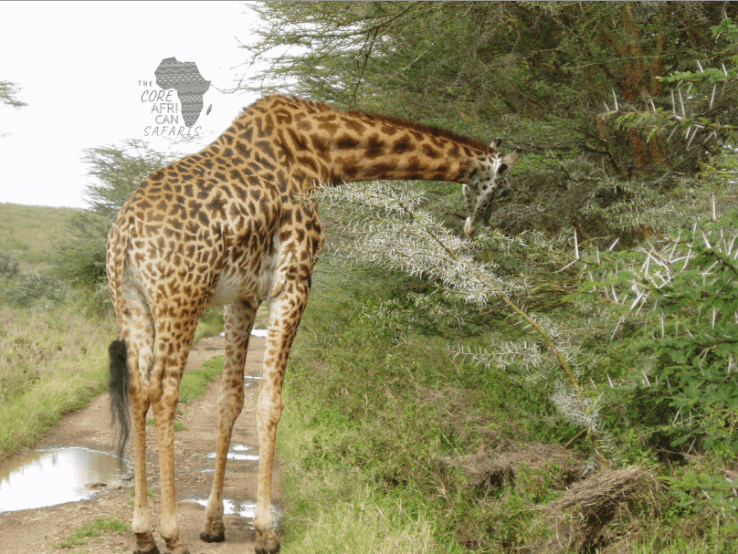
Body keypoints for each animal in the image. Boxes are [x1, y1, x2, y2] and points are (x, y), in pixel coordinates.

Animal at [107, 95, 521, 554]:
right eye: (502, 187)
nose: (476, 228)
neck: (323, 155)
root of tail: (125, 233)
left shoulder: (243, 297)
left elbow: (231, 401)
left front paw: (214, 524)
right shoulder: (294, 282)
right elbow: (270, 403)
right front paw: (266, 532)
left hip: (132, 303)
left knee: (138, 392)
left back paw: (142, 533)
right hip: (181, 298)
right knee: (164, 393)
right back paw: (170, 534)